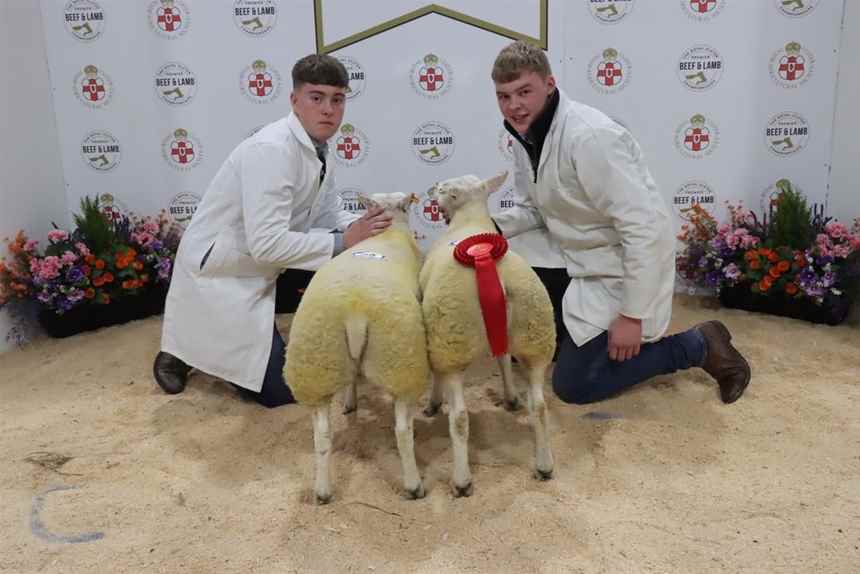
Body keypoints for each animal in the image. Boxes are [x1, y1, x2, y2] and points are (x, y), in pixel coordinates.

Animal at [284, 192, 428, 504]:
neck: (389, 230)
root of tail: (354, 312)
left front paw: (350, 402)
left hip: (318, 363)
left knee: (322, 435)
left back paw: (323, 491)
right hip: (400, 361)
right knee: (402, 431)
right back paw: (414, 486)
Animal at [418, 172, 556, 500]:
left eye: (444, 190)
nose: (431, 192)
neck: (470, 221)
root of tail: (498, 279)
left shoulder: (435, 335)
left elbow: (436, 379)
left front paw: (432, 404)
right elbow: (503, 359)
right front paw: (510, 397)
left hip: (452, 343)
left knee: (459, 417)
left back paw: (461, 480)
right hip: (537, 338)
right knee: (540, 405)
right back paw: (544, 465)